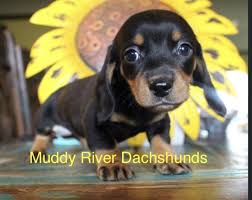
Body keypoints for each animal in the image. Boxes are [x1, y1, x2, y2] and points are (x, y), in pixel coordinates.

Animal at [31, 9, 226, 181]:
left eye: (184, 49)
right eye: (131, 54)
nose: (161, 86)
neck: (134, 103)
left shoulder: (160, 122)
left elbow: (161, 142)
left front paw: (168, 160)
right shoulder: (94, 122)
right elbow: (107, 145)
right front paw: (114, 165)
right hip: (45, 120)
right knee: (41, 135)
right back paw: (37, 150)